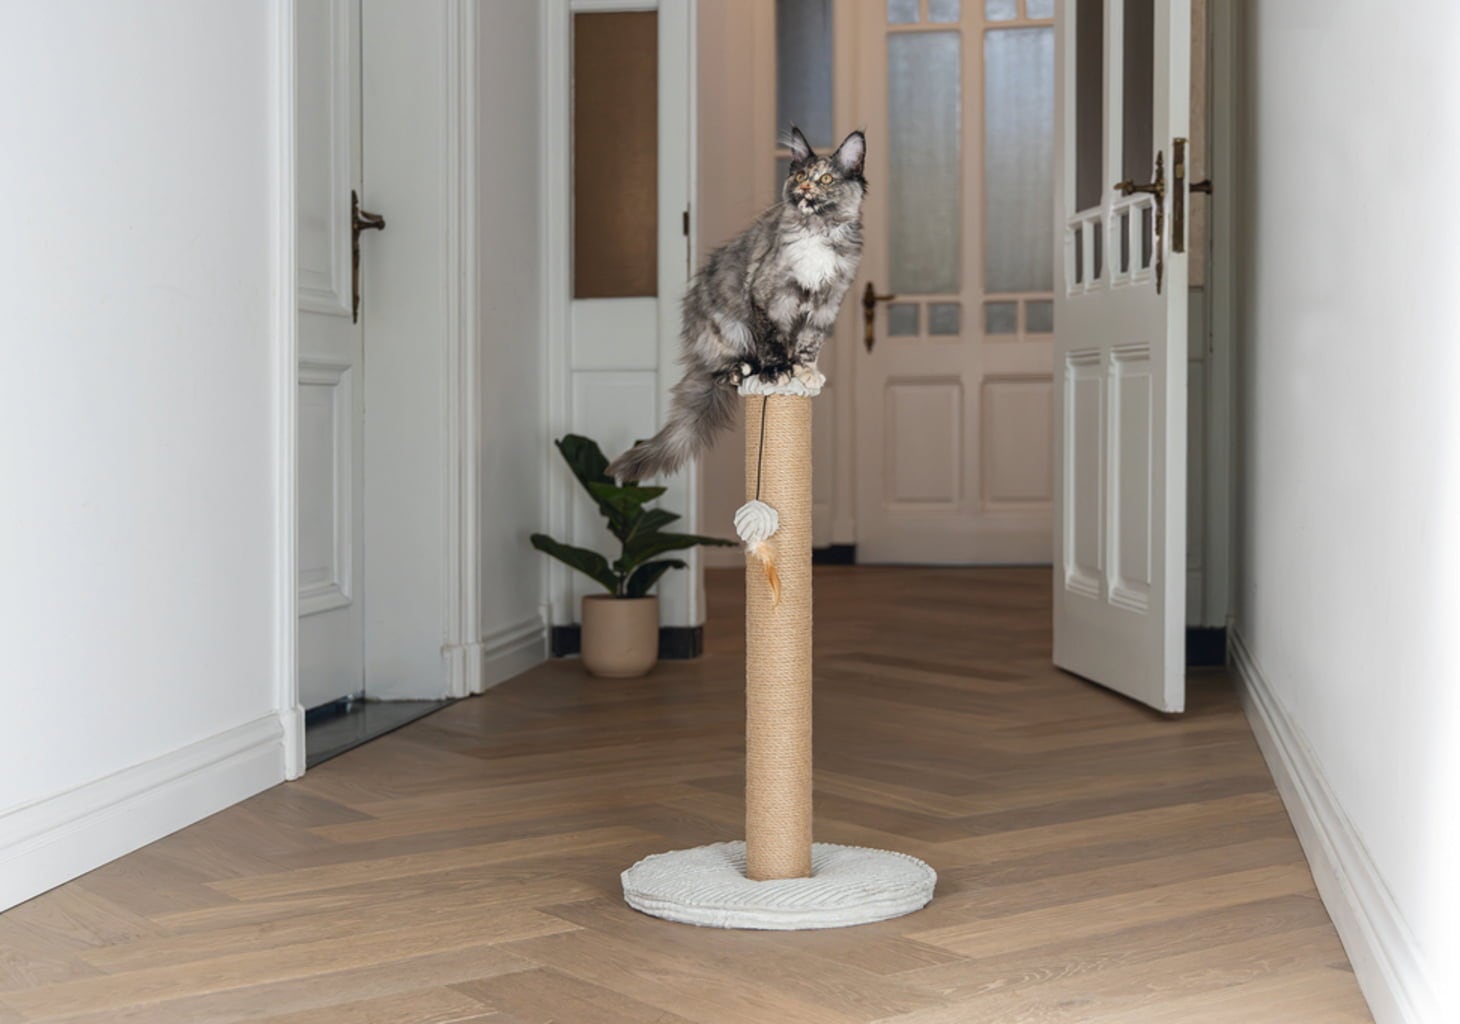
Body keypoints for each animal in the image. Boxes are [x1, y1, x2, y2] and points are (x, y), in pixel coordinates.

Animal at [606, 126, 867, 482]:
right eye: (800, 175)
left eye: (826, 179)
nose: (803, 188)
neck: (818, 231)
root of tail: (695, 350)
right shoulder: (767, 294)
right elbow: (773, 339)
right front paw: (778, 370)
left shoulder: (827, 303)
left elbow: (809, 342)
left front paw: (805, 371)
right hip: (728, 329)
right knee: (722, 370)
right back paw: (743, 369)